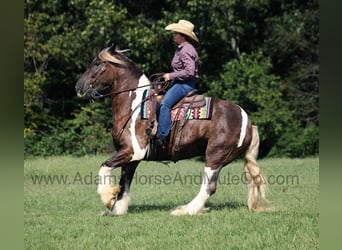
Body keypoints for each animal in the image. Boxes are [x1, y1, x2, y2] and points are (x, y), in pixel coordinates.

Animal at [75, 43, 270, 215]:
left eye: (97, 63)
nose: (78, 87)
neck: (134, 106)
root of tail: (247, 121)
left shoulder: (133, 151)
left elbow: (104, 166)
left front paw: (107, 198)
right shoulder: (130, 158)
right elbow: (124, 183)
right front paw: (116, 210)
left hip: (215, 156)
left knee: (209, 186)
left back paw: (185, 210)